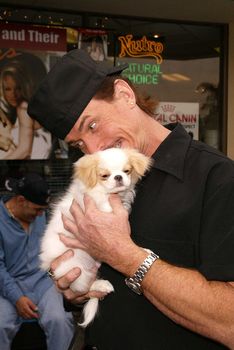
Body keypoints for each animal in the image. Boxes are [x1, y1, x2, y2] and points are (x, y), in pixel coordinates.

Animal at [39, 146, 152, 326]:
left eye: (126, 171)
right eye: (104, 176)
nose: (118, 177)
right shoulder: (92, 201)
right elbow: (104, 205)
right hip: (74, 268)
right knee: (84, 288)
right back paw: (102, 286)